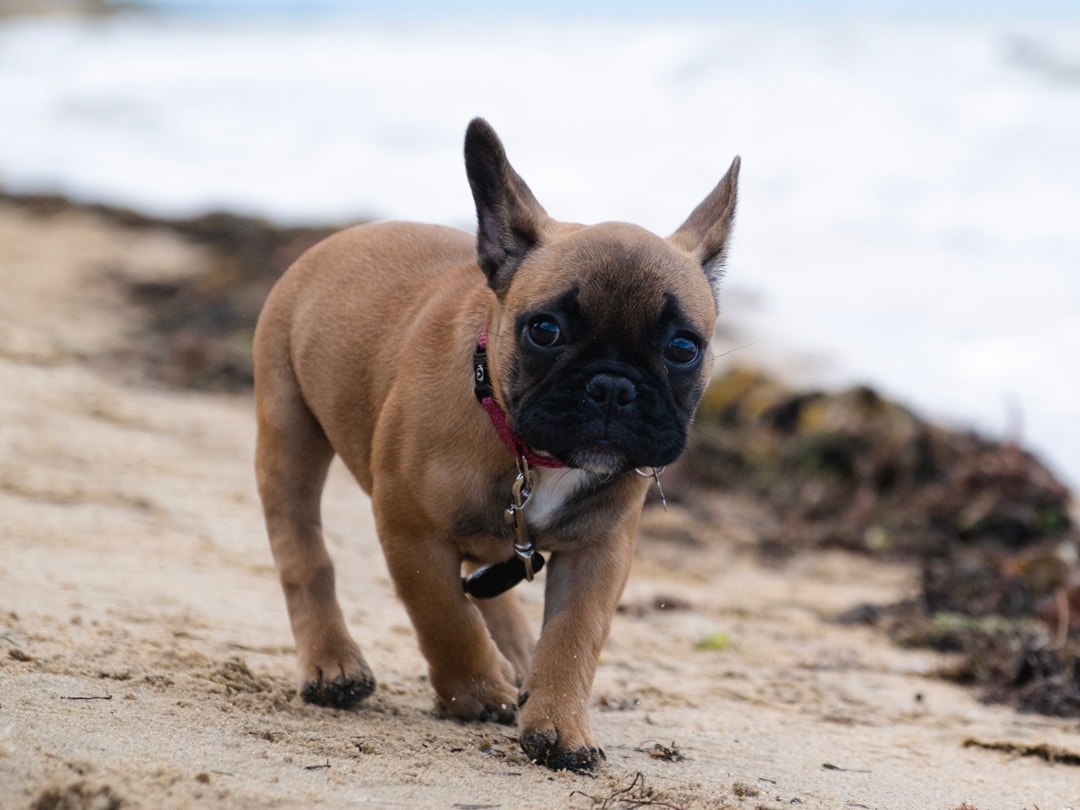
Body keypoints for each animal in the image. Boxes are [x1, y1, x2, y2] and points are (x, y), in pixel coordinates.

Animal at [253, 118, 743, 773]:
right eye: (546, 330)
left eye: (683, 348)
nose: (612, 387)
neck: (530, 454)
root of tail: (337, 240)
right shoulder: (411, 534)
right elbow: (444, 617)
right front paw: (477, 691)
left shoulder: (599, 551)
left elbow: (572, 638)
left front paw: (558, 723)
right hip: (288, 428)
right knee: (303, 549)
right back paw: (335, 663)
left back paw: (517, 661)